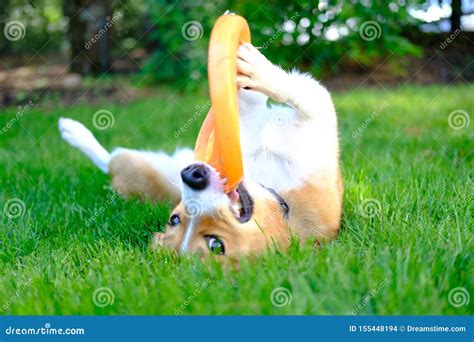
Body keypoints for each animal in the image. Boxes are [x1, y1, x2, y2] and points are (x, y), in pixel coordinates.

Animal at [59, 42, 342, 256]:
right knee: (108, 158)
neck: (277, 195)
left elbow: (281, 99)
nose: (191, 176)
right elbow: (274, 99)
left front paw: (251, 76)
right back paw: (72, 129)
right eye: (175, 219)